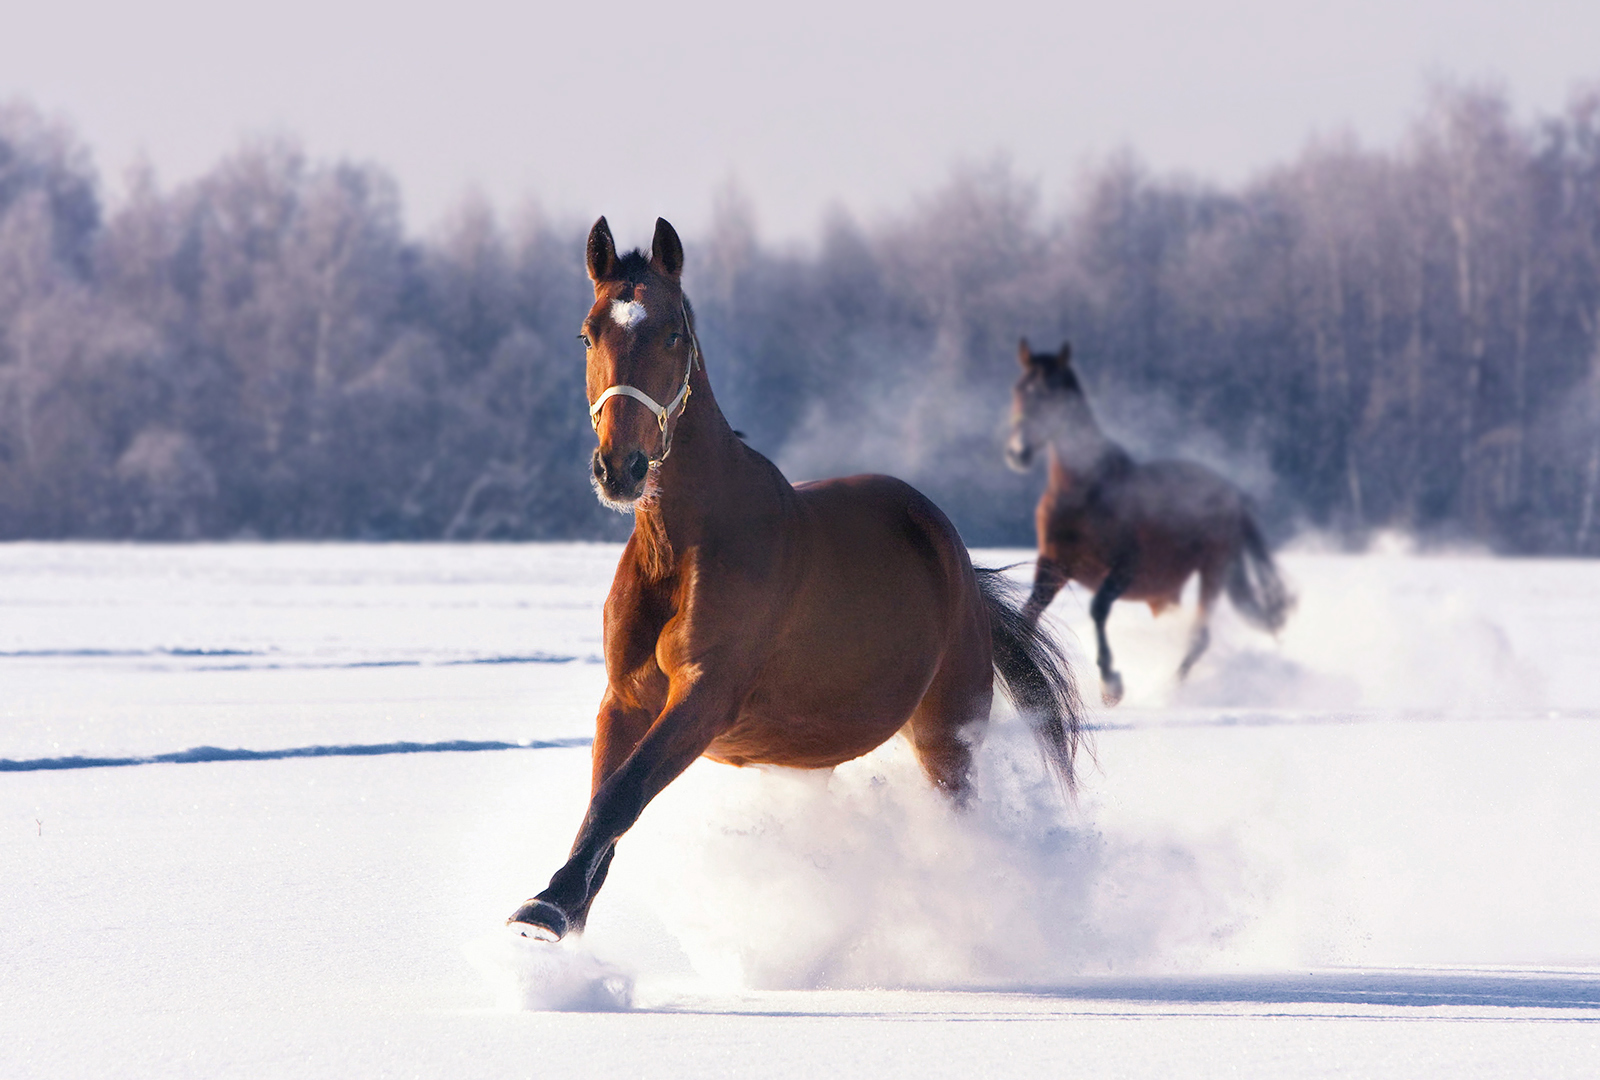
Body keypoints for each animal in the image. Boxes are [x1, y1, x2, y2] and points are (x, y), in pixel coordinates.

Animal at [508, 222, 1088, 947]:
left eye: (672, 334)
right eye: (588, 335)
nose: (621, 469)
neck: (682, 547)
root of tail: (957, 563)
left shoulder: (706, 696)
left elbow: (622, 793)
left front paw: (546, 910)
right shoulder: (625, 699)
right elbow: (604, 799)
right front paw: (562, 904)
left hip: (946, 735)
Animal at [1004, 340, 1292, 710]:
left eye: (1053, 394)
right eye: (1018, 389)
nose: (1018, 452)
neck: (1084, 492)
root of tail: (1232, 494)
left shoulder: (1124, 569)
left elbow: (1098, 610)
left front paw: (1111, 686)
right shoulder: (1053, 565)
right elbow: (1027, 616)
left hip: (1213, 570)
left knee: (1199, 636)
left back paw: (1173, 692)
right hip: (1167, 592)